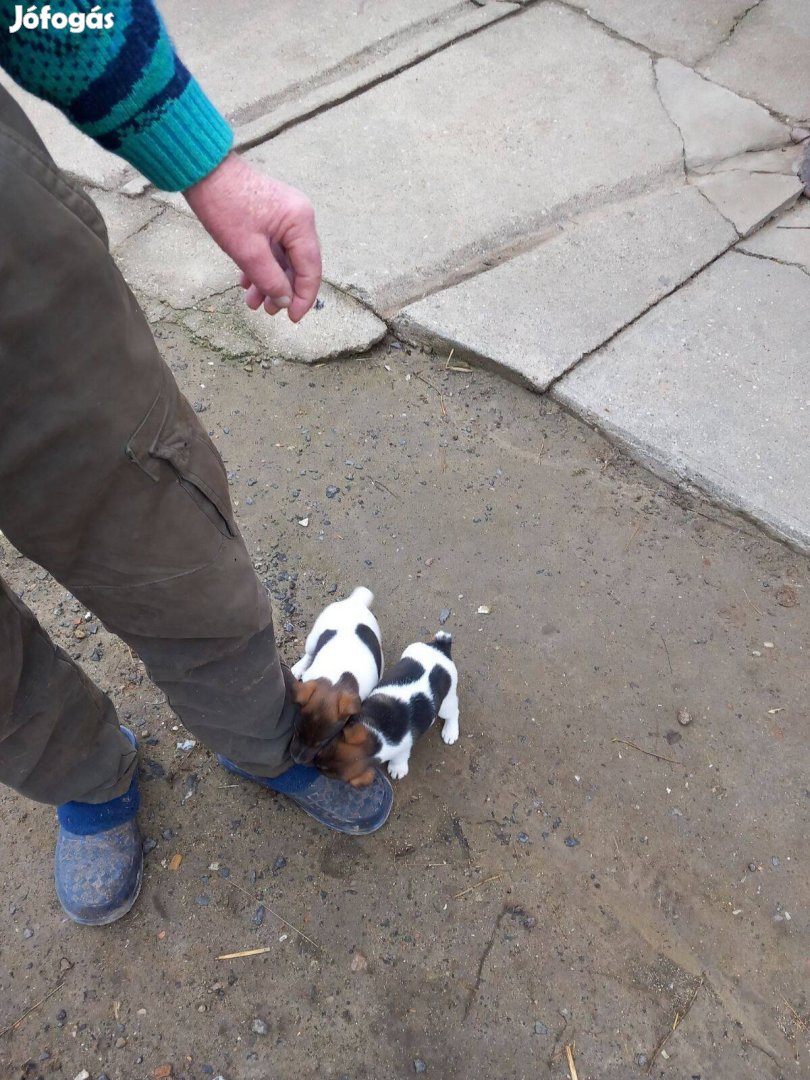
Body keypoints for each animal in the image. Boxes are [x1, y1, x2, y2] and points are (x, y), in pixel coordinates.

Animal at [289, 587, 384, 764]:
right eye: (296, 730)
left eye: (323, 742)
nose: (297, 760)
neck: (336, 681)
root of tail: (355, 602)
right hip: (313, 638)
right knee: (309, 652)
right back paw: (299, 667)